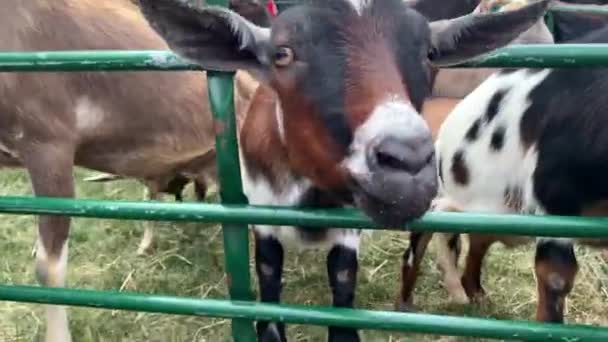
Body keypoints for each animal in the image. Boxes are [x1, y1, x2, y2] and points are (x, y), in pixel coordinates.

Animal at [141, 1, 552, 340]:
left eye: (429, 54)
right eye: (282, 53)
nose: (408, 160)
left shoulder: (348, 234)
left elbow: (342, 304)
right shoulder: (263, 220)